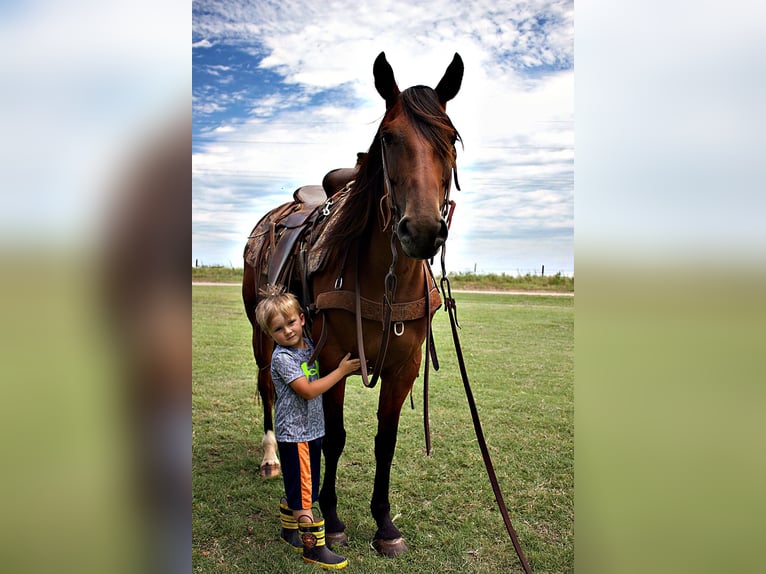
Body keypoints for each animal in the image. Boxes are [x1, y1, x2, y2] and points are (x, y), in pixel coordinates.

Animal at [243, 50, 464, 560]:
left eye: (451, 139)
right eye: (388, 137)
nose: (422, 229)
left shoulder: (404, 366)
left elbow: (386, 440)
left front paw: (384, 523)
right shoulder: (330, 356)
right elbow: (336, 436)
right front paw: (334, 518)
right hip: (261, 334)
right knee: (268, 387)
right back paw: (270, 457)